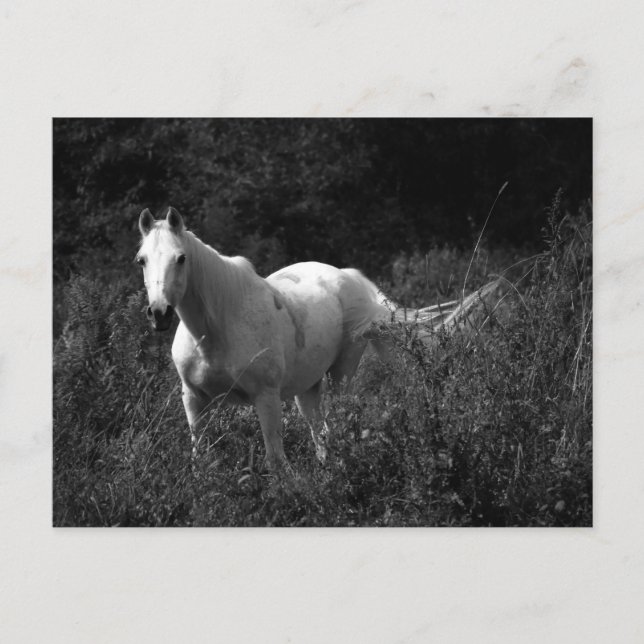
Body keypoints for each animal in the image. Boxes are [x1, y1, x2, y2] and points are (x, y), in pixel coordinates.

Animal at [136, 207, 500, 470]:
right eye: (141, 260)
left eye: (181, 258)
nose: (159, 313)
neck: (216, 328)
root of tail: (348, 277)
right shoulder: (194, 399)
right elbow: (200, 456)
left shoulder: (265, 398)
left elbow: (276, 460)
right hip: (306, 388)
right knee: (319, 434)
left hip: (341, 374)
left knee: (334, 427)